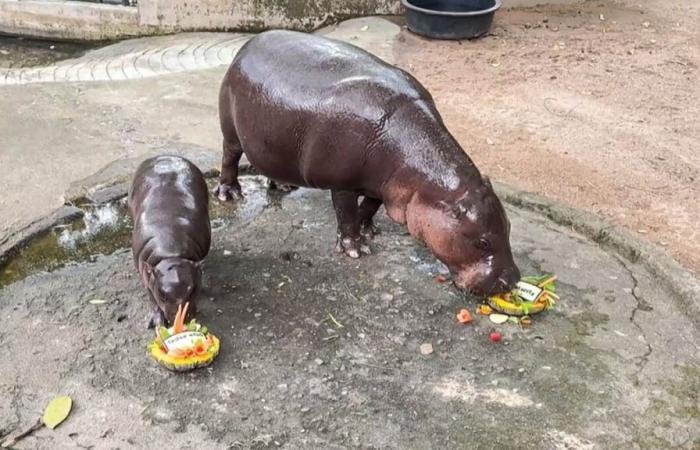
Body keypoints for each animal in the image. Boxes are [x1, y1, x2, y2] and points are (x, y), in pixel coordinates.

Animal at [129, 156, 211, 328]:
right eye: (162, 295)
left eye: (193, 290)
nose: (180, 320)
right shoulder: (147, 273)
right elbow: (151, 295)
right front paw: (156, 322)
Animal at [217, 29, 520, 296]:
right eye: (482, 242)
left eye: (508, 227)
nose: (512, 281)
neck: (426, 179)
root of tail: (248, 45)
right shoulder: (342, 183)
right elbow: (346, 213)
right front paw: (356, 249)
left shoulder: (383, 184)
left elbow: (370, 207)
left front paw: (369, 230)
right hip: (231, 131)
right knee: (229, 157)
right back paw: (229, 194)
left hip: (272, 140)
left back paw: (281, 186)